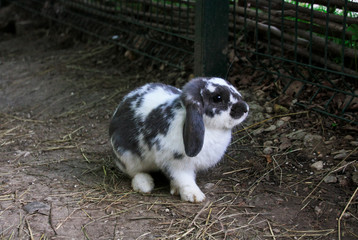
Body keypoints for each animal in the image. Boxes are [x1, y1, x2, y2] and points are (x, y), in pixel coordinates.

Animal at [110, 77, 249, 202]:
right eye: (218, 98)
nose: (245, 109)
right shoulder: (176, 163)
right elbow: (184, 179)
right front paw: (195, 196)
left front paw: (176, 189)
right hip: (127, 157)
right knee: (134, 172)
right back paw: (144, 185)